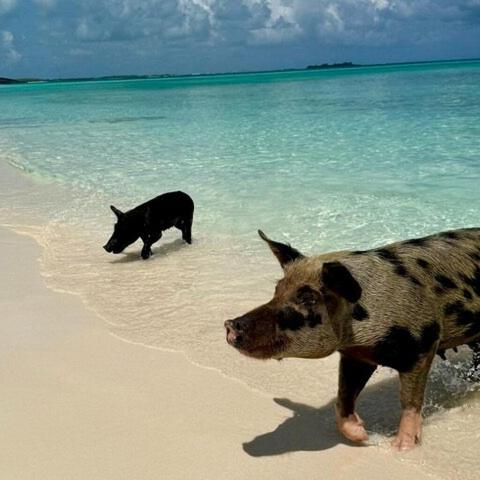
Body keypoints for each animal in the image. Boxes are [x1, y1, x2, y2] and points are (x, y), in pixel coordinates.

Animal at [224, 228, 480, 450]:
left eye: (308, 298)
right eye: (277, 290)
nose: (231, 324)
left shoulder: (423, 343)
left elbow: (410, 402)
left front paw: (400, 448)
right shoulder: (357, 355)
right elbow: (343, 398)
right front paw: (363, 436)